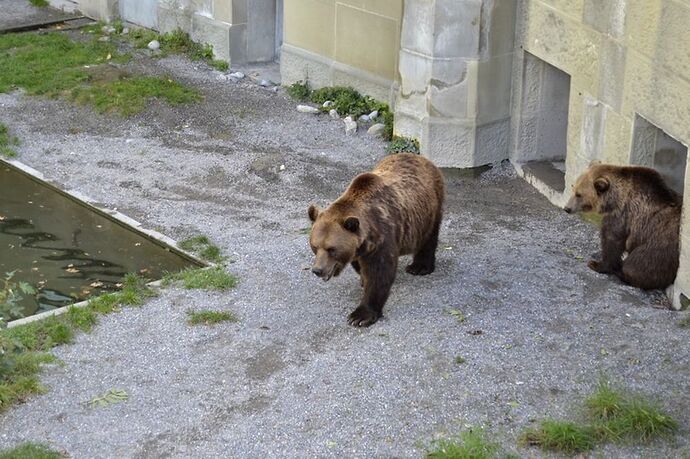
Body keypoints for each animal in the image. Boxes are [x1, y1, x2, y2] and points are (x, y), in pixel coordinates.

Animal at [306, 154, 444, 328]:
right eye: (315, 247)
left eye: (331, 249)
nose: (317, 270)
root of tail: (421, 158)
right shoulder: (360, 248)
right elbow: (362, 267)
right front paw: (362, 280)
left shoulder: (383, 237)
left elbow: (379, 274)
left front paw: (360, 316)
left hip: (429, 210)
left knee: (428, 237)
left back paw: (419, 267)